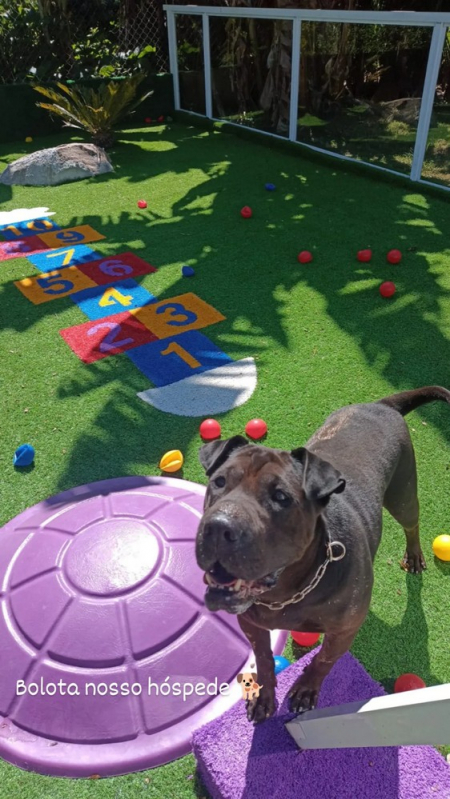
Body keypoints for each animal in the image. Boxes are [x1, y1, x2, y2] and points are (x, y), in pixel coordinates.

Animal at [196, 388, 450, 724]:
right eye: (219, 481)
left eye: (281, 497)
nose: (218, 526)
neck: (287, 592)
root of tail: (380, 406)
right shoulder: (251, 623)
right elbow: (263, 657)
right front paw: (263, 695)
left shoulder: (345, 629)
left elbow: (324, 659)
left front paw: (306, 689)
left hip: (403, 492)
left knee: (412, 523)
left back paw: (415, 555)